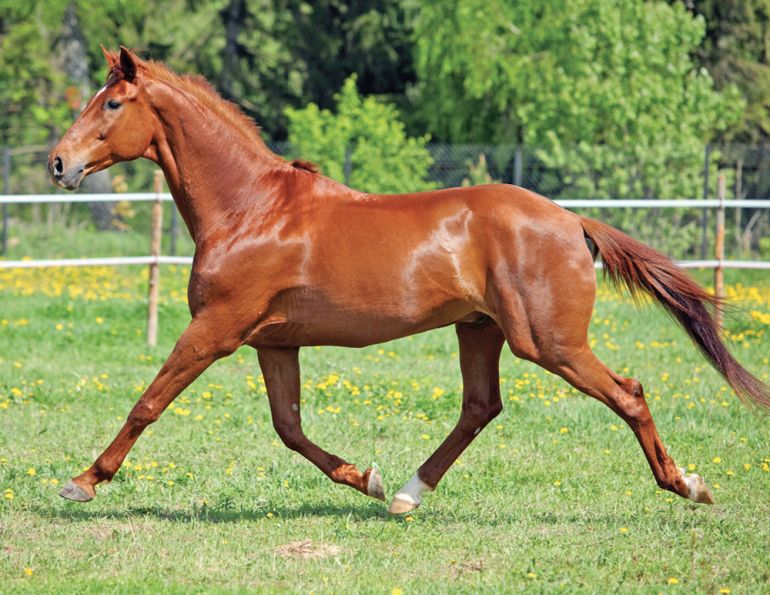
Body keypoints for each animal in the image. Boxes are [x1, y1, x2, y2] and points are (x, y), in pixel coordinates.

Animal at [49, 47, 769, 514]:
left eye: (112, 103)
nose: (59, 163)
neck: (250, 208)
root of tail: (571, 221)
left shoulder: (216, 329)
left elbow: (148, 402)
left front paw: (83, 480)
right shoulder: (274, 342)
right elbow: (289, 428)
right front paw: (364, 477)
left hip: (548, 342)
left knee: (628, 392)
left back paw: (689, 485)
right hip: (480, 330)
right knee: (480, 407)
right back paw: (404, 494)